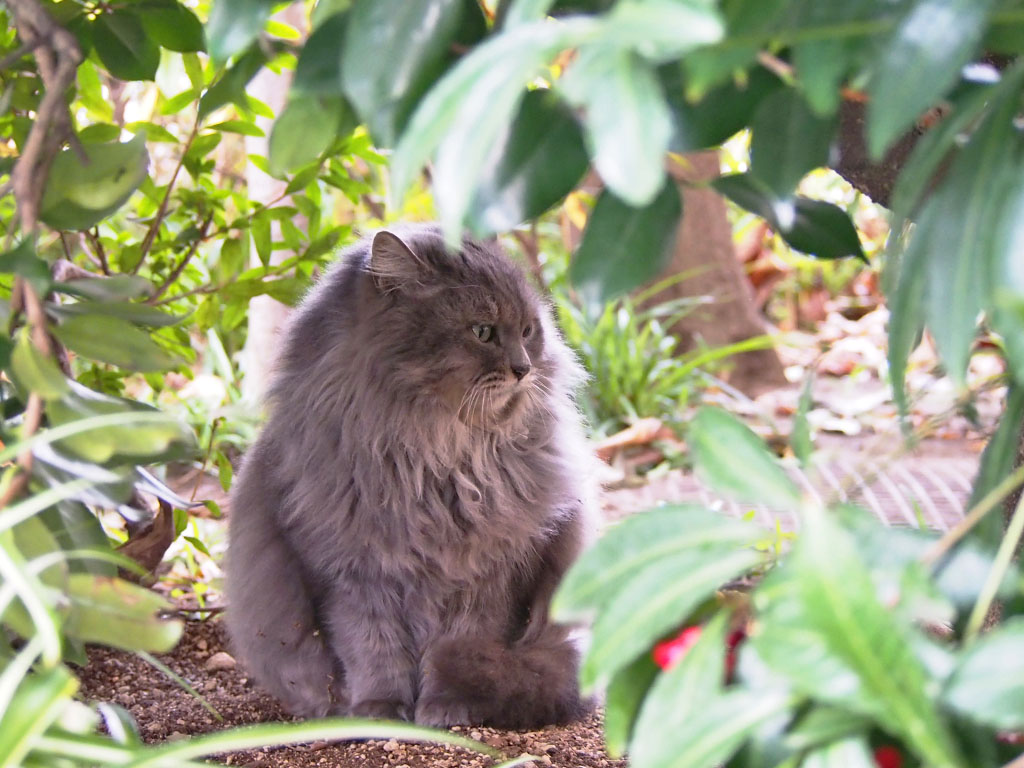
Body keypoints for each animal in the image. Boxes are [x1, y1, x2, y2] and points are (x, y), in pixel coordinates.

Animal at [224, 224, 593, 729]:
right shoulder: (350, 575)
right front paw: (378, 713)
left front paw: (446, 708)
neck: (431, 458)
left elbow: (456, 650)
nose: (524, 368)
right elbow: (372, 651)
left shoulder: (489, 577)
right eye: (482, 332)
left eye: (528, 331)